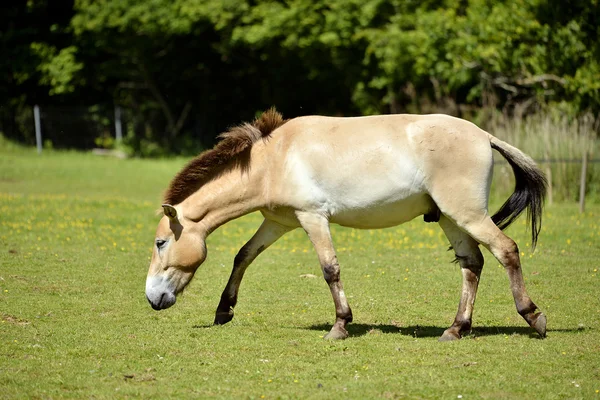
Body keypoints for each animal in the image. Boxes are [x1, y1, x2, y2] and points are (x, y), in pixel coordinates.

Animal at [146, 108, 548, 340]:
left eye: (160, 243)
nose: (152, 298)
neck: (273, 161)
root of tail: (484, 136)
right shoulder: (279, 223)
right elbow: (243, 256)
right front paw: (223, 311)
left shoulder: (313, 218)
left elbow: (329, 269)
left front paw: (340, 326)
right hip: (449, 218)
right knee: (472, 264)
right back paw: (455, 329)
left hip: (468, 215)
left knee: (506, 250)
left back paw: (533, 318)